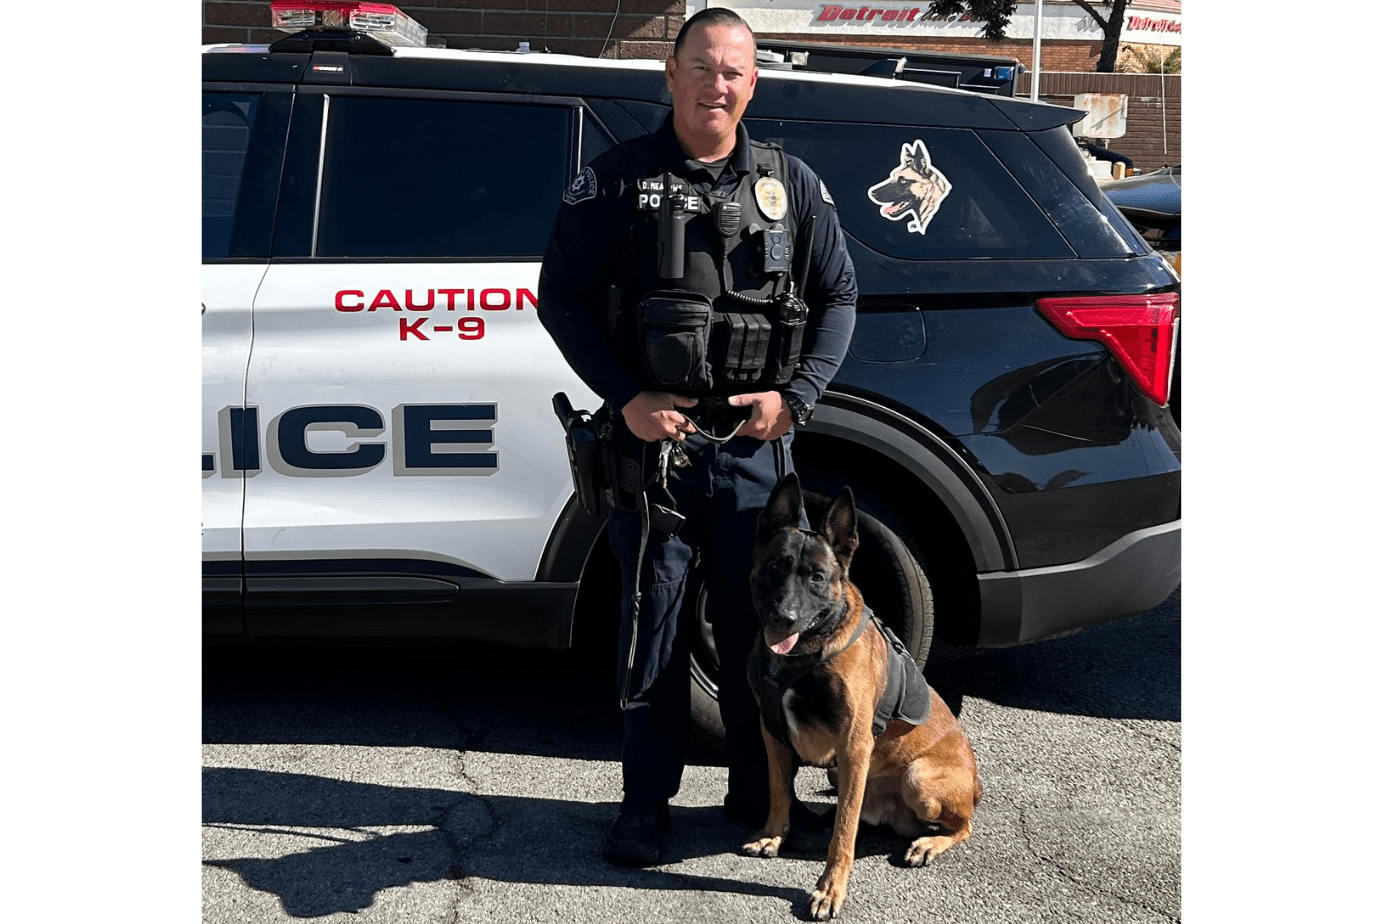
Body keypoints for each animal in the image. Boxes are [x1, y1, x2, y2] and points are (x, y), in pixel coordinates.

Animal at [746, 473, 984, 918]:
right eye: (775, 568)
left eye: (817, 577)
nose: (783, 618)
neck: (806, 655)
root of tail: (976, 783)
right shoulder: (772, 733)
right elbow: (778, 788)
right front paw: (774, 833)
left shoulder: (854, 745)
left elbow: (843, 836)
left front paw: (830, 890)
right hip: (840, 773)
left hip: (917, 777)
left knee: (963, 825)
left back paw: (928, 843)